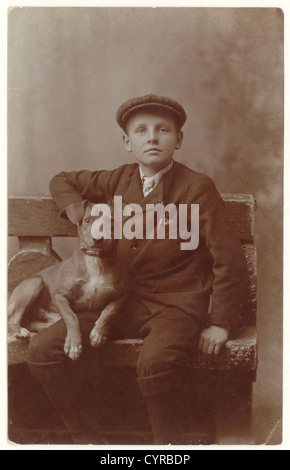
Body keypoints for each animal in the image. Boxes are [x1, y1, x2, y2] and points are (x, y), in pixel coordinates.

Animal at [8, 201, 127, 360]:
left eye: (111, 221)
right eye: (87, 220)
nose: (97, 238)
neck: (95, 260)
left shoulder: (122, 295)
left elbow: (110, 311)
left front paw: (98, 333)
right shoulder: (59, 296)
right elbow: (71, 317)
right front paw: (74, 344)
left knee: (33, 322)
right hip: (35, 283)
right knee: (12, 320)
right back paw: (19, 331)